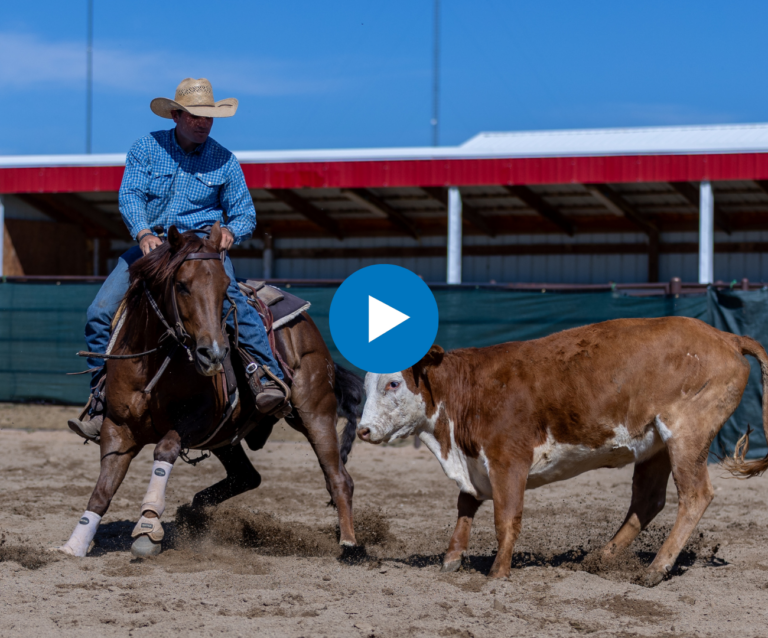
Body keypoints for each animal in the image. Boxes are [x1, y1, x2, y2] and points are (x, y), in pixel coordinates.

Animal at [57, 222, 360, 558]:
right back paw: (193, 512)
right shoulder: (118, 427)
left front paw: (148, 526)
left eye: (225, 287)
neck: (152, 363)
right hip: (225, 438)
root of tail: (306, 323)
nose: (214, 354)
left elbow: (164, 450)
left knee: (339, 478)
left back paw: (349, 544)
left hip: (314, 413)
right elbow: (103, 489)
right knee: (247, 477)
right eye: (181, 285)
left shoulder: (200, 419)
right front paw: (75, 543)